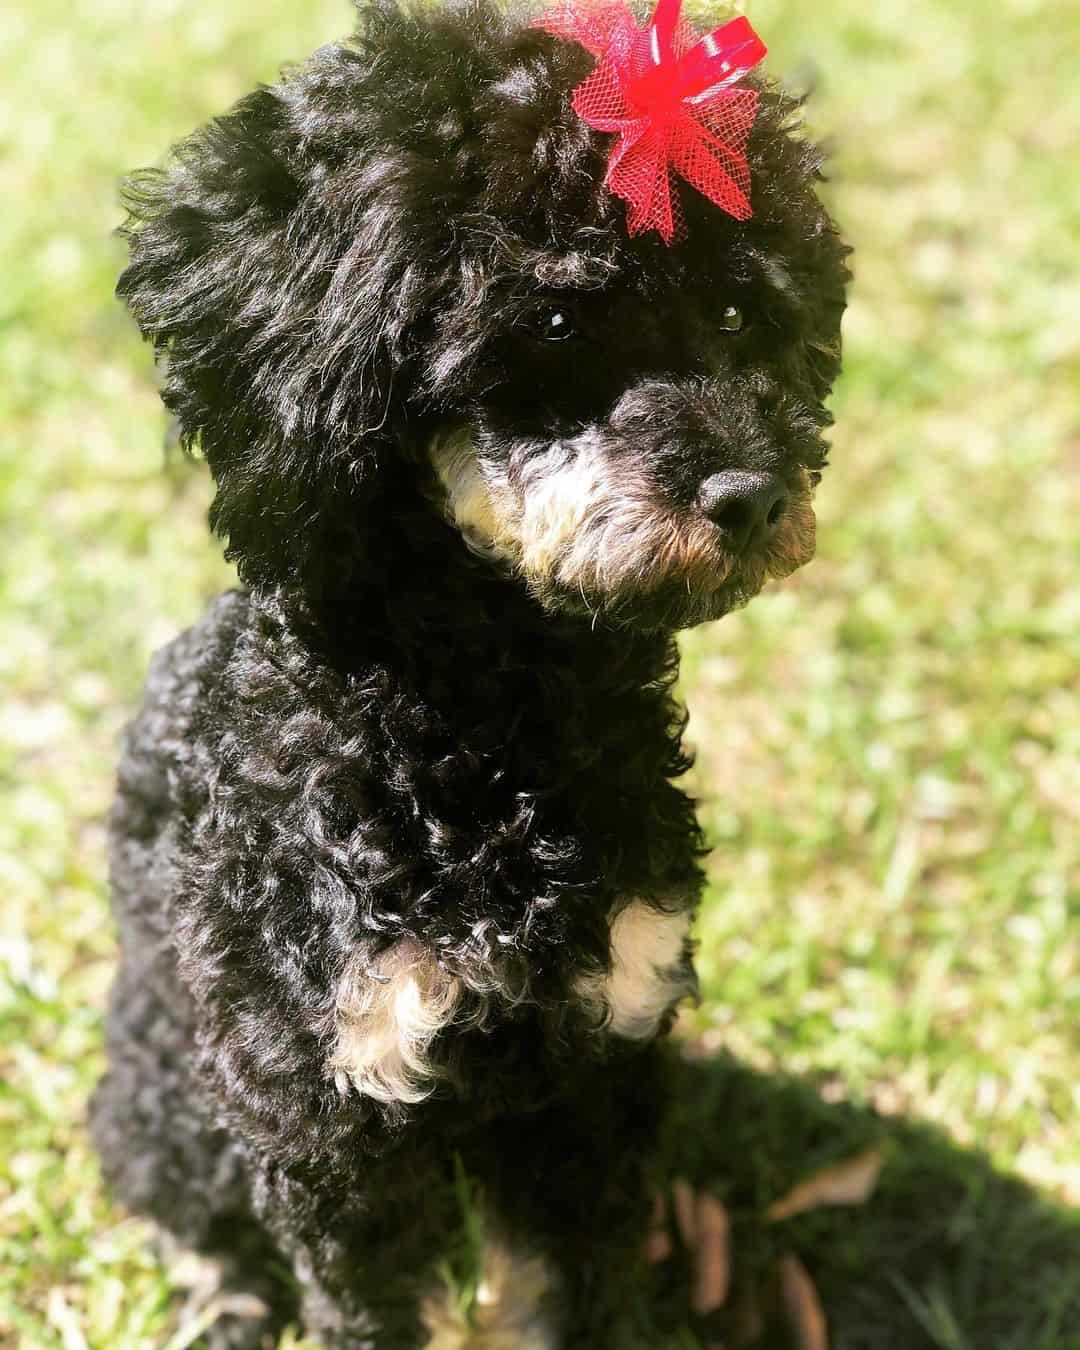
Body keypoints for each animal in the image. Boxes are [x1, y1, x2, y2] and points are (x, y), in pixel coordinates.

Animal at [90, 0, 853, 1344]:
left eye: (732, 317)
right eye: (551, 322)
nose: (752, 495)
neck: (488, 741)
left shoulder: (600, 1064)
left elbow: (562, 1293)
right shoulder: (327, 1118)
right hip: (168, 1087)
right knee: (180, 1200)